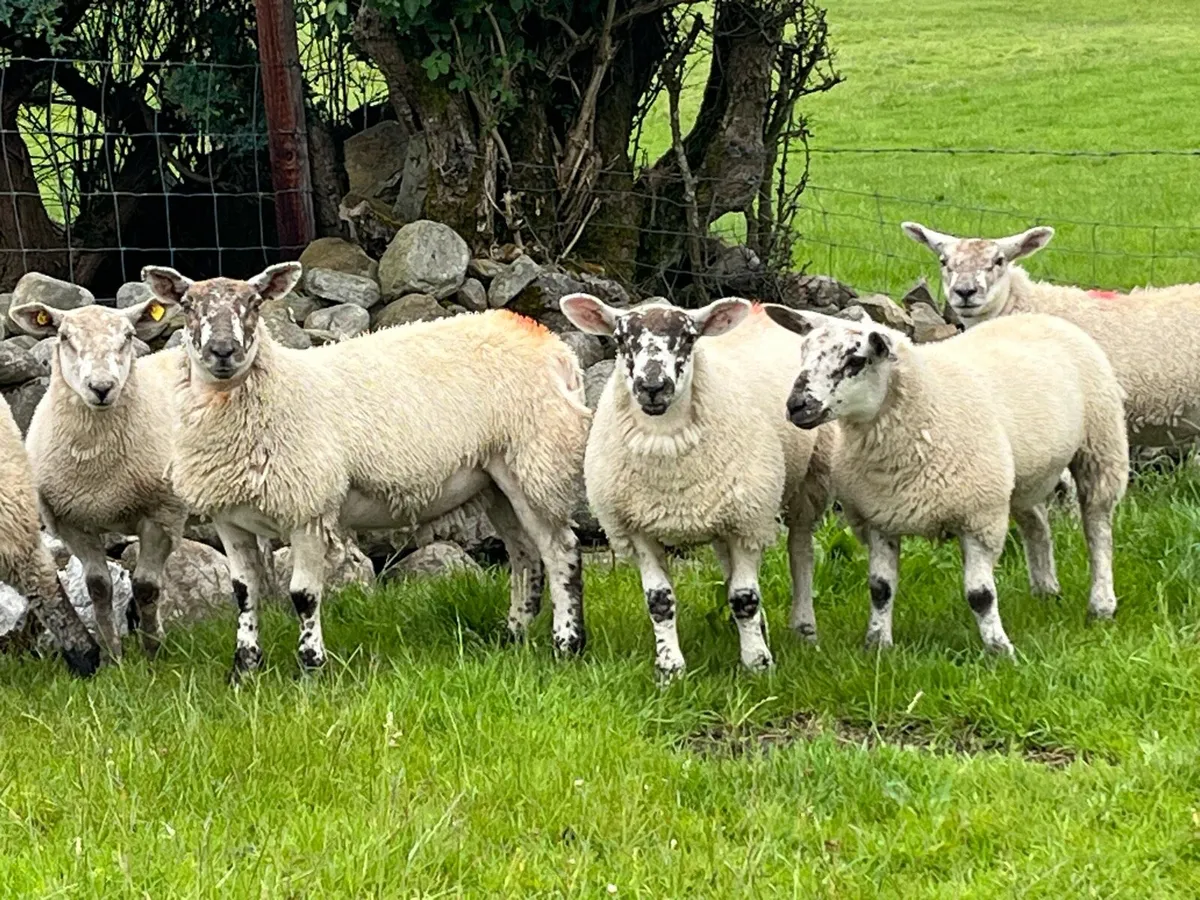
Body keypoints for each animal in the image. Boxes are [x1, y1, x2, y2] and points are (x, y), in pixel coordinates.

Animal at [9, 300, 189, 662]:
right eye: (64, 336)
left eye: (129, 335)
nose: (102, 388)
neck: (99, 471)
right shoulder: (72, 522)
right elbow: (98, 588)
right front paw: (112, 655)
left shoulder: (162, 515)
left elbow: (146, 587)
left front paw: (152, 651)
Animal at [140, 262, 591, 678]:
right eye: (188, 304)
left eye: (254, 303)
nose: (223, 351)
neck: (275, 391)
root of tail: (551, 343)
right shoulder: (229, 517)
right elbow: (244, 593)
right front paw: (244, 669)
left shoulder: (309, 508)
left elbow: (303, 595)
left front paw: (311, 669)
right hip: (496, 480)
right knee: (525, 555)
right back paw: (513, 635)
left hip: (537, 460)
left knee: (561, 552)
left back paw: (567, 645)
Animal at [559, 293, 832, 679]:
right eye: (620, 339)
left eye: (689, 338)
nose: (653, 387)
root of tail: (757, 307)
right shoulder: (636, 529)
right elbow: (659, 602)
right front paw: (670, 669)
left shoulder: (748, 521)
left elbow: (745, 598)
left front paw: (758, 664)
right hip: (721, 512)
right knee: (729, 565)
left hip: (809, 479)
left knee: (801, 553)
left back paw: (804, 629)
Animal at [764, 306, 1128, 654]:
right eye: (803, 352)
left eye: (855, 360)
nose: (796, 406)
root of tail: (1037, 316)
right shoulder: (879, 516)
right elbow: (880, 589)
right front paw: (877, 644)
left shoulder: (978, 518)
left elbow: (981, 595)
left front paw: (1000, 649)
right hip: (1020, 477)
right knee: (1037, 524)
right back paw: (1045, 590)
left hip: (1101, 445)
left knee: (1098, 529)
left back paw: (1101, 604)